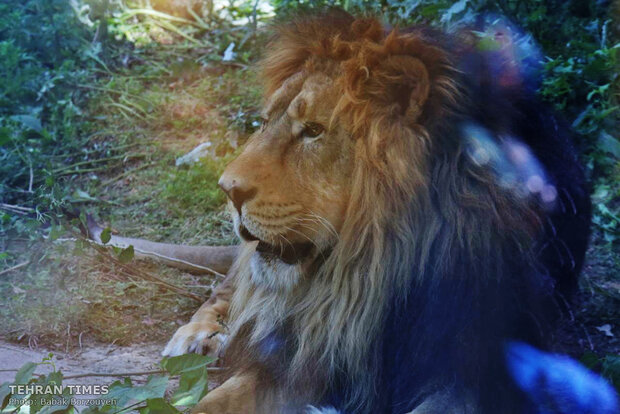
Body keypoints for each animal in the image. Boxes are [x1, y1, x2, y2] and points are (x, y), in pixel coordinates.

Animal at [140, 9, 592, 414]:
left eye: (314, 131)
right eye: (265, 123)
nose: (227, 190)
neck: (376, 273)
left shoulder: (474, 376)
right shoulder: (306, 358)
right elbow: (213, 402)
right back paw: (198, 335)